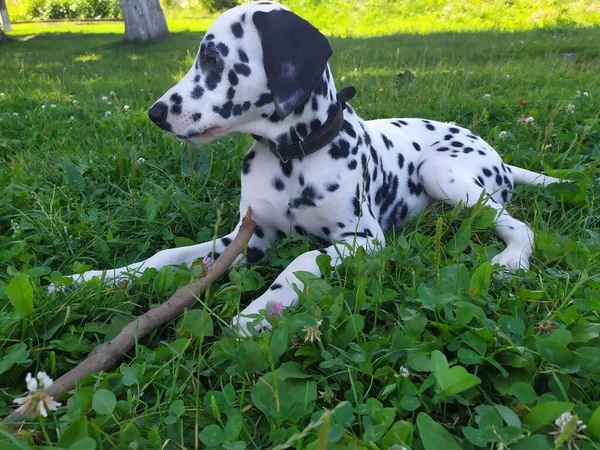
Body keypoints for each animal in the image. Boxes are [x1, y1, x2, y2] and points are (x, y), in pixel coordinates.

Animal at [51, 0, 564, 334]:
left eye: (213, 57)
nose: (155, 113)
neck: (291, 157)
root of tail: (499, 157)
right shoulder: (248, 237)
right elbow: (163, 257)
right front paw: (84, 281)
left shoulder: (362, 240)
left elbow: (301, 260)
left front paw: (259, 310)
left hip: (441, 172)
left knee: (518, 226)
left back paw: (510, 260)